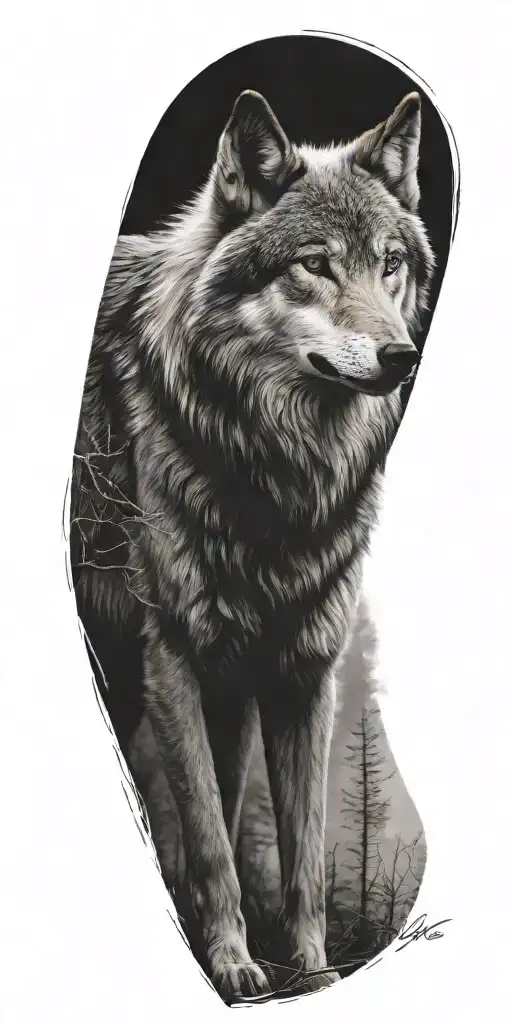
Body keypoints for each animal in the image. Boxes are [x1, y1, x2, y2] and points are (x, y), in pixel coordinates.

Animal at [70, 88, 434, 1002]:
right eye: (315, 264)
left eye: (388, 263)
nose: (401, 355)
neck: (278, 478)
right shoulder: (173, 661)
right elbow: (210, 839)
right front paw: (234, 965)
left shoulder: (301, 672)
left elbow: (296, 849)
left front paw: (312, 968)